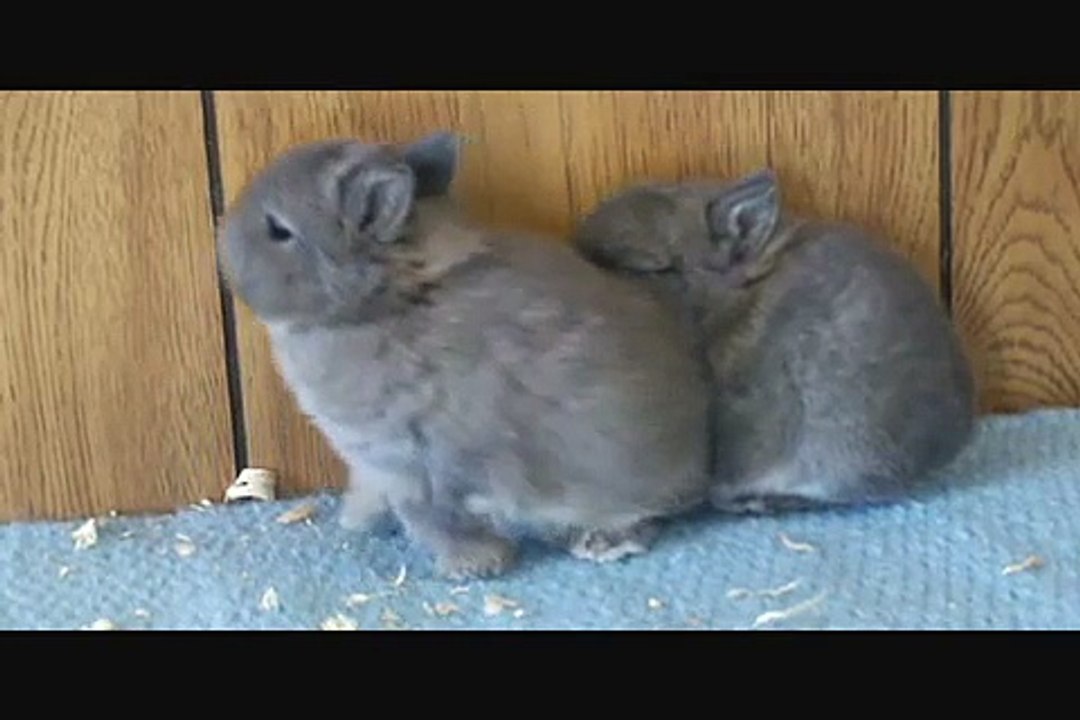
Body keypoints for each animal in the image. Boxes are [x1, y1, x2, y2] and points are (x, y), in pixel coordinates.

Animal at [216, 133, 713, 578]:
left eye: (278, 230)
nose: (221, 235)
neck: (388, 302)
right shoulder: (378, 466)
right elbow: (372, 495)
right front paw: (356, 522)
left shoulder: (416, 464)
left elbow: (433, 520)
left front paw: (471, 566)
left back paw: (601, 543)